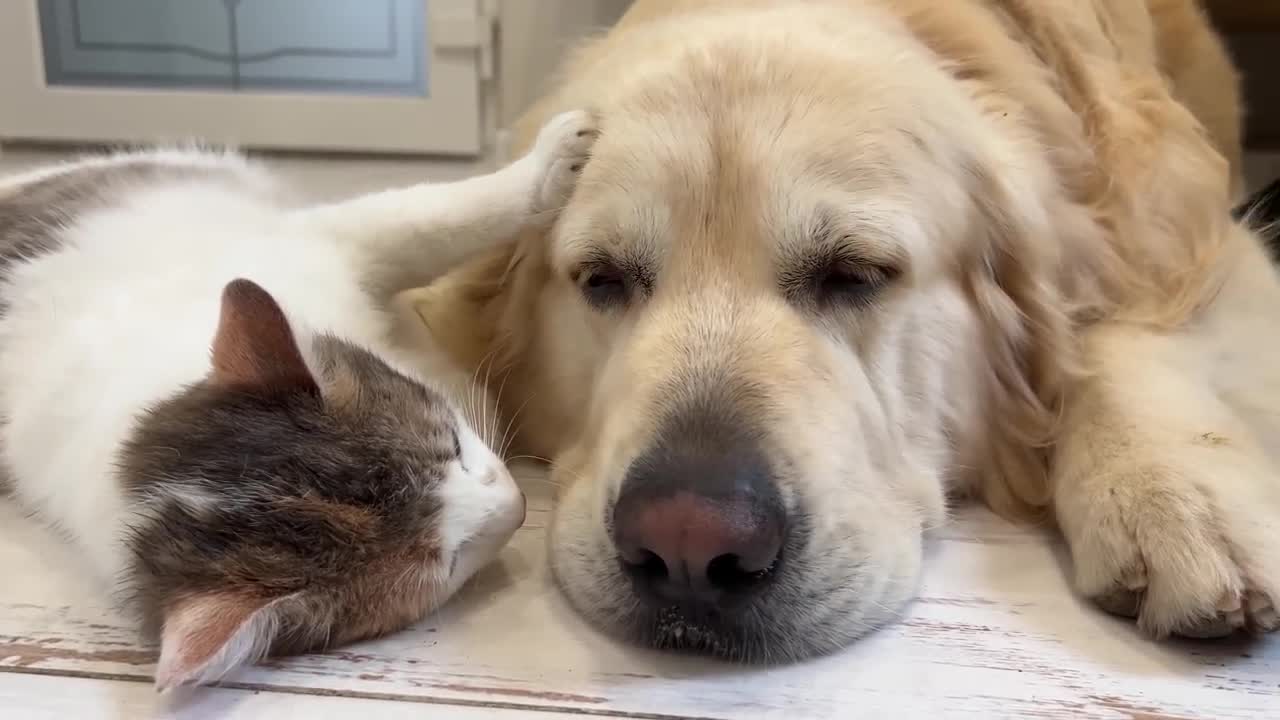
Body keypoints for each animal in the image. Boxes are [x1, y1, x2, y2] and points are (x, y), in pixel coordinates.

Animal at [401, 0, 1280, 661]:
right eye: (602, 279)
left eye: (855, 274)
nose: (689, 544)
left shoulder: (1202, 241)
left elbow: (1110, 329)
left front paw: (1170, 491)